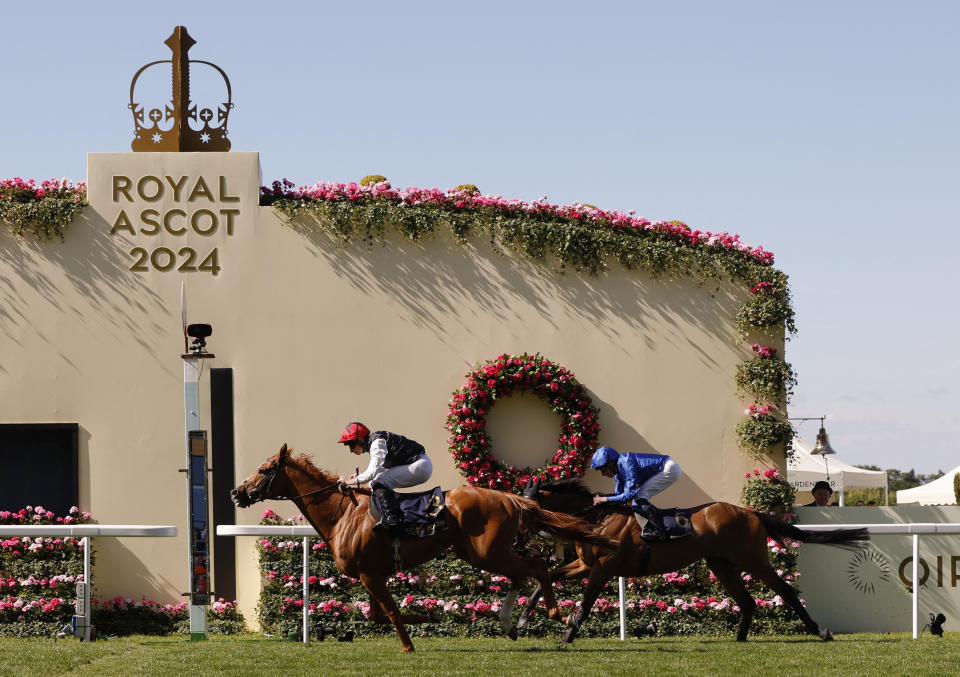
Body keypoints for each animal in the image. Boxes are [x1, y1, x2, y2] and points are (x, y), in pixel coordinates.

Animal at [235, 444, 620, 648]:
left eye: (264, 469)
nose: (237, 492)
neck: (342, 513)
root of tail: (510, 498)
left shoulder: (370, 574)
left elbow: (388, 613)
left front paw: (409, 643)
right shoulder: (371, 575)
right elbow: (377, 614)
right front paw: (426, 616)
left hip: (485, 551)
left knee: (537, 567)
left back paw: (552, 615)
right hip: (482, 552)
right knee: (524, 573)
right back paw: (511, 623)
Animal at [516, 478, 872, 640]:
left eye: (522, 510)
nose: (517, 544)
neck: (598, 518)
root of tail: (751, 513)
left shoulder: (603, 568)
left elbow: (587, 602)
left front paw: (568, 632)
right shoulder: (586, 565)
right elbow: (546, 577)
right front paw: (521, 620)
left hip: (752, 559)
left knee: (784, 590)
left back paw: (819, 631)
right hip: (721, 563)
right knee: (747, 601)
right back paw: (739, 639)